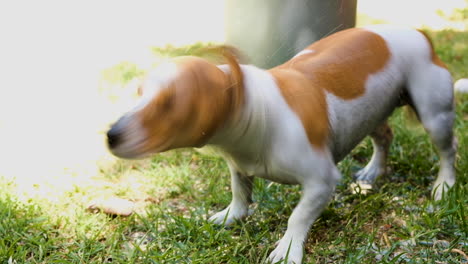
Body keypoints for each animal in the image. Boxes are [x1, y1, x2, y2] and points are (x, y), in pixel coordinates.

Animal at [107, 24, 458, 262]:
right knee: (384, 136)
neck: (256, 110)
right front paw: (232, 216)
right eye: (139, 92)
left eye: (169, 104)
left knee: (447, 150)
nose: (111, 135)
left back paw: (444, 185)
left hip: (434, 114)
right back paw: (373, 171)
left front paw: (288, 248)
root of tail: (420, 33)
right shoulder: (238, 166)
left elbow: (298, 216)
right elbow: (239, 193)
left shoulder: (321, 182)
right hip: (371, 113)